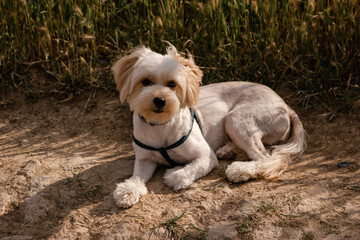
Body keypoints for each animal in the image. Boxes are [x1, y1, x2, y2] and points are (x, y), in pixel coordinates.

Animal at [111, 45, 306, 208]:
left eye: (172, 84)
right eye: (145, 82)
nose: (160, 100)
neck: (160, 126)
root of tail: (285, 105)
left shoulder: (206, 157)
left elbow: (182, 174)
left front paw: (175, 171)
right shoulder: (145, 160)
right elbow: (137, 177)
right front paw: (127, 191)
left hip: (235, 119)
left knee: (264, 158)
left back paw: (239, 170)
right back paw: (228, 150)